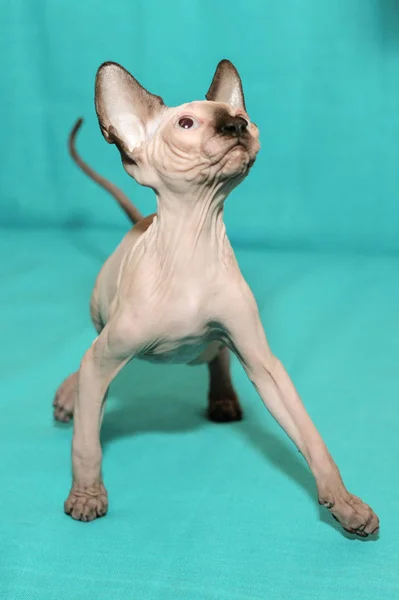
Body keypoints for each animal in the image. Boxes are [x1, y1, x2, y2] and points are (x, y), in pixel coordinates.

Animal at [51, 57, 380, 536]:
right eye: (186, 123)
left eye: (240, 116)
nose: (236, 124)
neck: (194, 242)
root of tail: (143, 220)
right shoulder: (107, 356)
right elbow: (87, 443)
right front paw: (87, 496)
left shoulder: (263, 362)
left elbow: (309, 435)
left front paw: (345, 504)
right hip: (102, 318)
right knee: (88, 360)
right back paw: (70, 396)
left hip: (205, 347)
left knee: (217, 354)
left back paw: (222, 398)